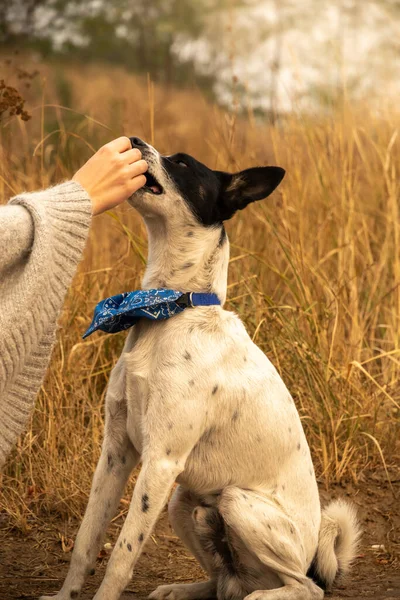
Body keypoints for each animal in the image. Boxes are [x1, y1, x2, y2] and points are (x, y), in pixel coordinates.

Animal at [42, 137, 360, 600]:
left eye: (182, 163)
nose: (134, 141)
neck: (169, 308)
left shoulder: (160, 461)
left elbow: (121, 556)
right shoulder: (116, 450)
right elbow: (86, 541)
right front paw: (65, 595)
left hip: (236, 502)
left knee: (304, 587)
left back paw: (266, 596)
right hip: (184, 501)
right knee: (223, 583)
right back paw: (184, 589)